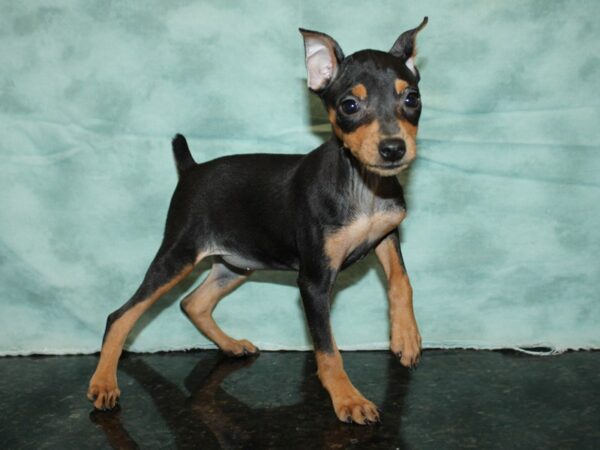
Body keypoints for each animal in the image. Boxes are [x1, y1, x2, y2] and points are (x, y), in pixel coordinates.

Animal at [88, 17, 426, 426]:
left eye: (411, 99)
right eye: (349, 105)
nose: (393, 149)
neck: (362, 183)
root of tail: (192, 169)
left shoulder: (387, 233)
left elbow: (401, 281)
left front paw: (405, 337)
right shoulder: (313, 282)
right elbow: (327, 349)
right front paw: (347, 399)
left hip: (235, 264)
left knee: (192, 303)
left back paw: (231, 346)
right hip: (179, 255)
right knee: (121, 315)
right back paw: (104, 384)